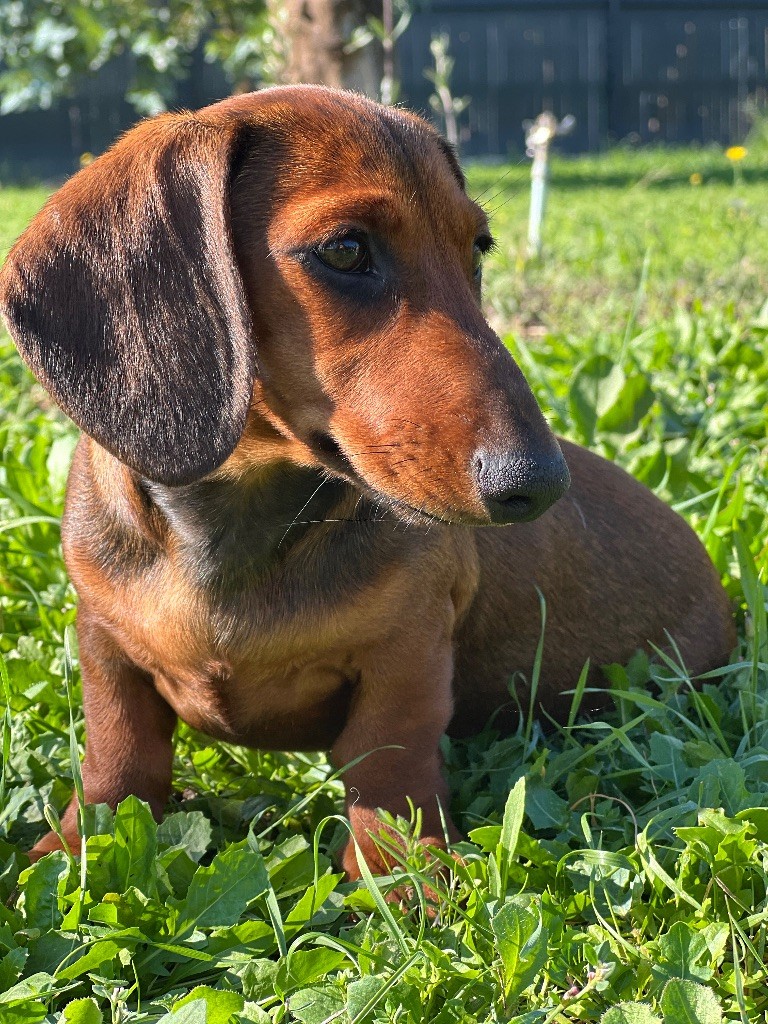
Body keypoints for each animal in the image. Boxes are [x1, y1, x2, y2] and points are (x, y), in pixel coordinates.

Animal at [0, 83, 733, 876]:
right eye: (346, 250)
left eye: (476, 248)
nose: (539, 484)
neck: (231, 529)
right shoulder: (104, 640)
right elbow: (119, 753)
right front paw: (72, 851)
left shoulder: (407, 648)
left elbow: (388, 762)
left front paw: (404, 876)